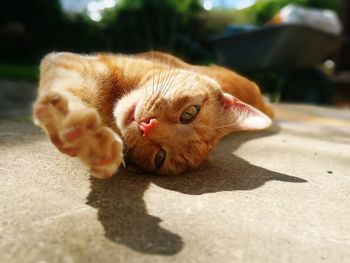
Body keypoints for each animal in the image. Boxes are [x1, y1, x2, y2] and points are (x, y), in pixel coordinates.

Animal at [33, 51, 274, 179]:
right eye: (190, 113)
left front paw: (91, 144)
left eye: (160, 158)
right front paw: (79, 129)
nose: (146, 126)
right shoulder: (73, 63)